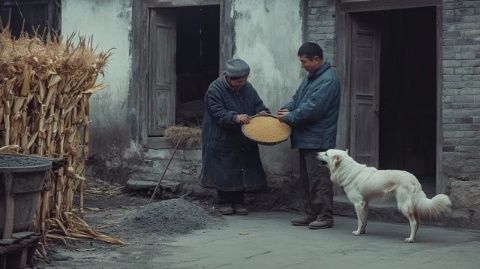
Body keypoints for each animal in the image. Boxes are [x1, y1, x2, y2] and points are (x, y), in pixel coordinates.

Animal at [316, 148, 452, 242]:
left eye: (326, 153)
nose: (316, 152)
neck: (347, 169)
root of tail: (413, 179)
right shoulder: (365, 203)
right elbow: (364, 219)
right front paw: (363, 231)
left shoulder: (358, 204)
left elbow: (359, 220)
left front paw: (358, 232)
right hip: (411, 205)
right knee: (417, 221)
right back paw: (414, 237)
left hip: (403, 205)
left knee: (413, 222)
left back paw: (410, 239)